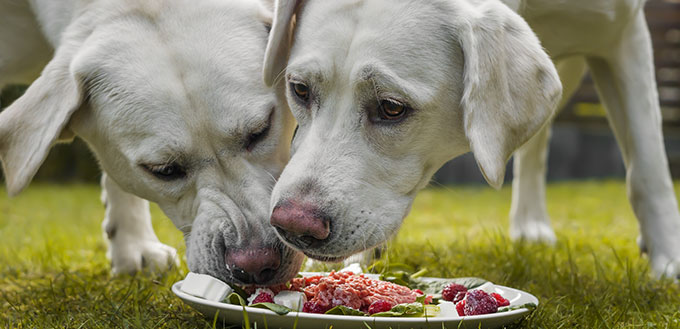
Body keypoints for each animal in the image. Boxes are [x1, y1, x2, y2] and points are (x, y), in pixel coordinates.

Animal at [262, 0, 680, 278]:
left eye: (391, 107)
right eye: (300, 90)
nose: (292, 226)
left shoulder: (624, 34)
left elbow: (647, 165)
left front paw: (669, 259)